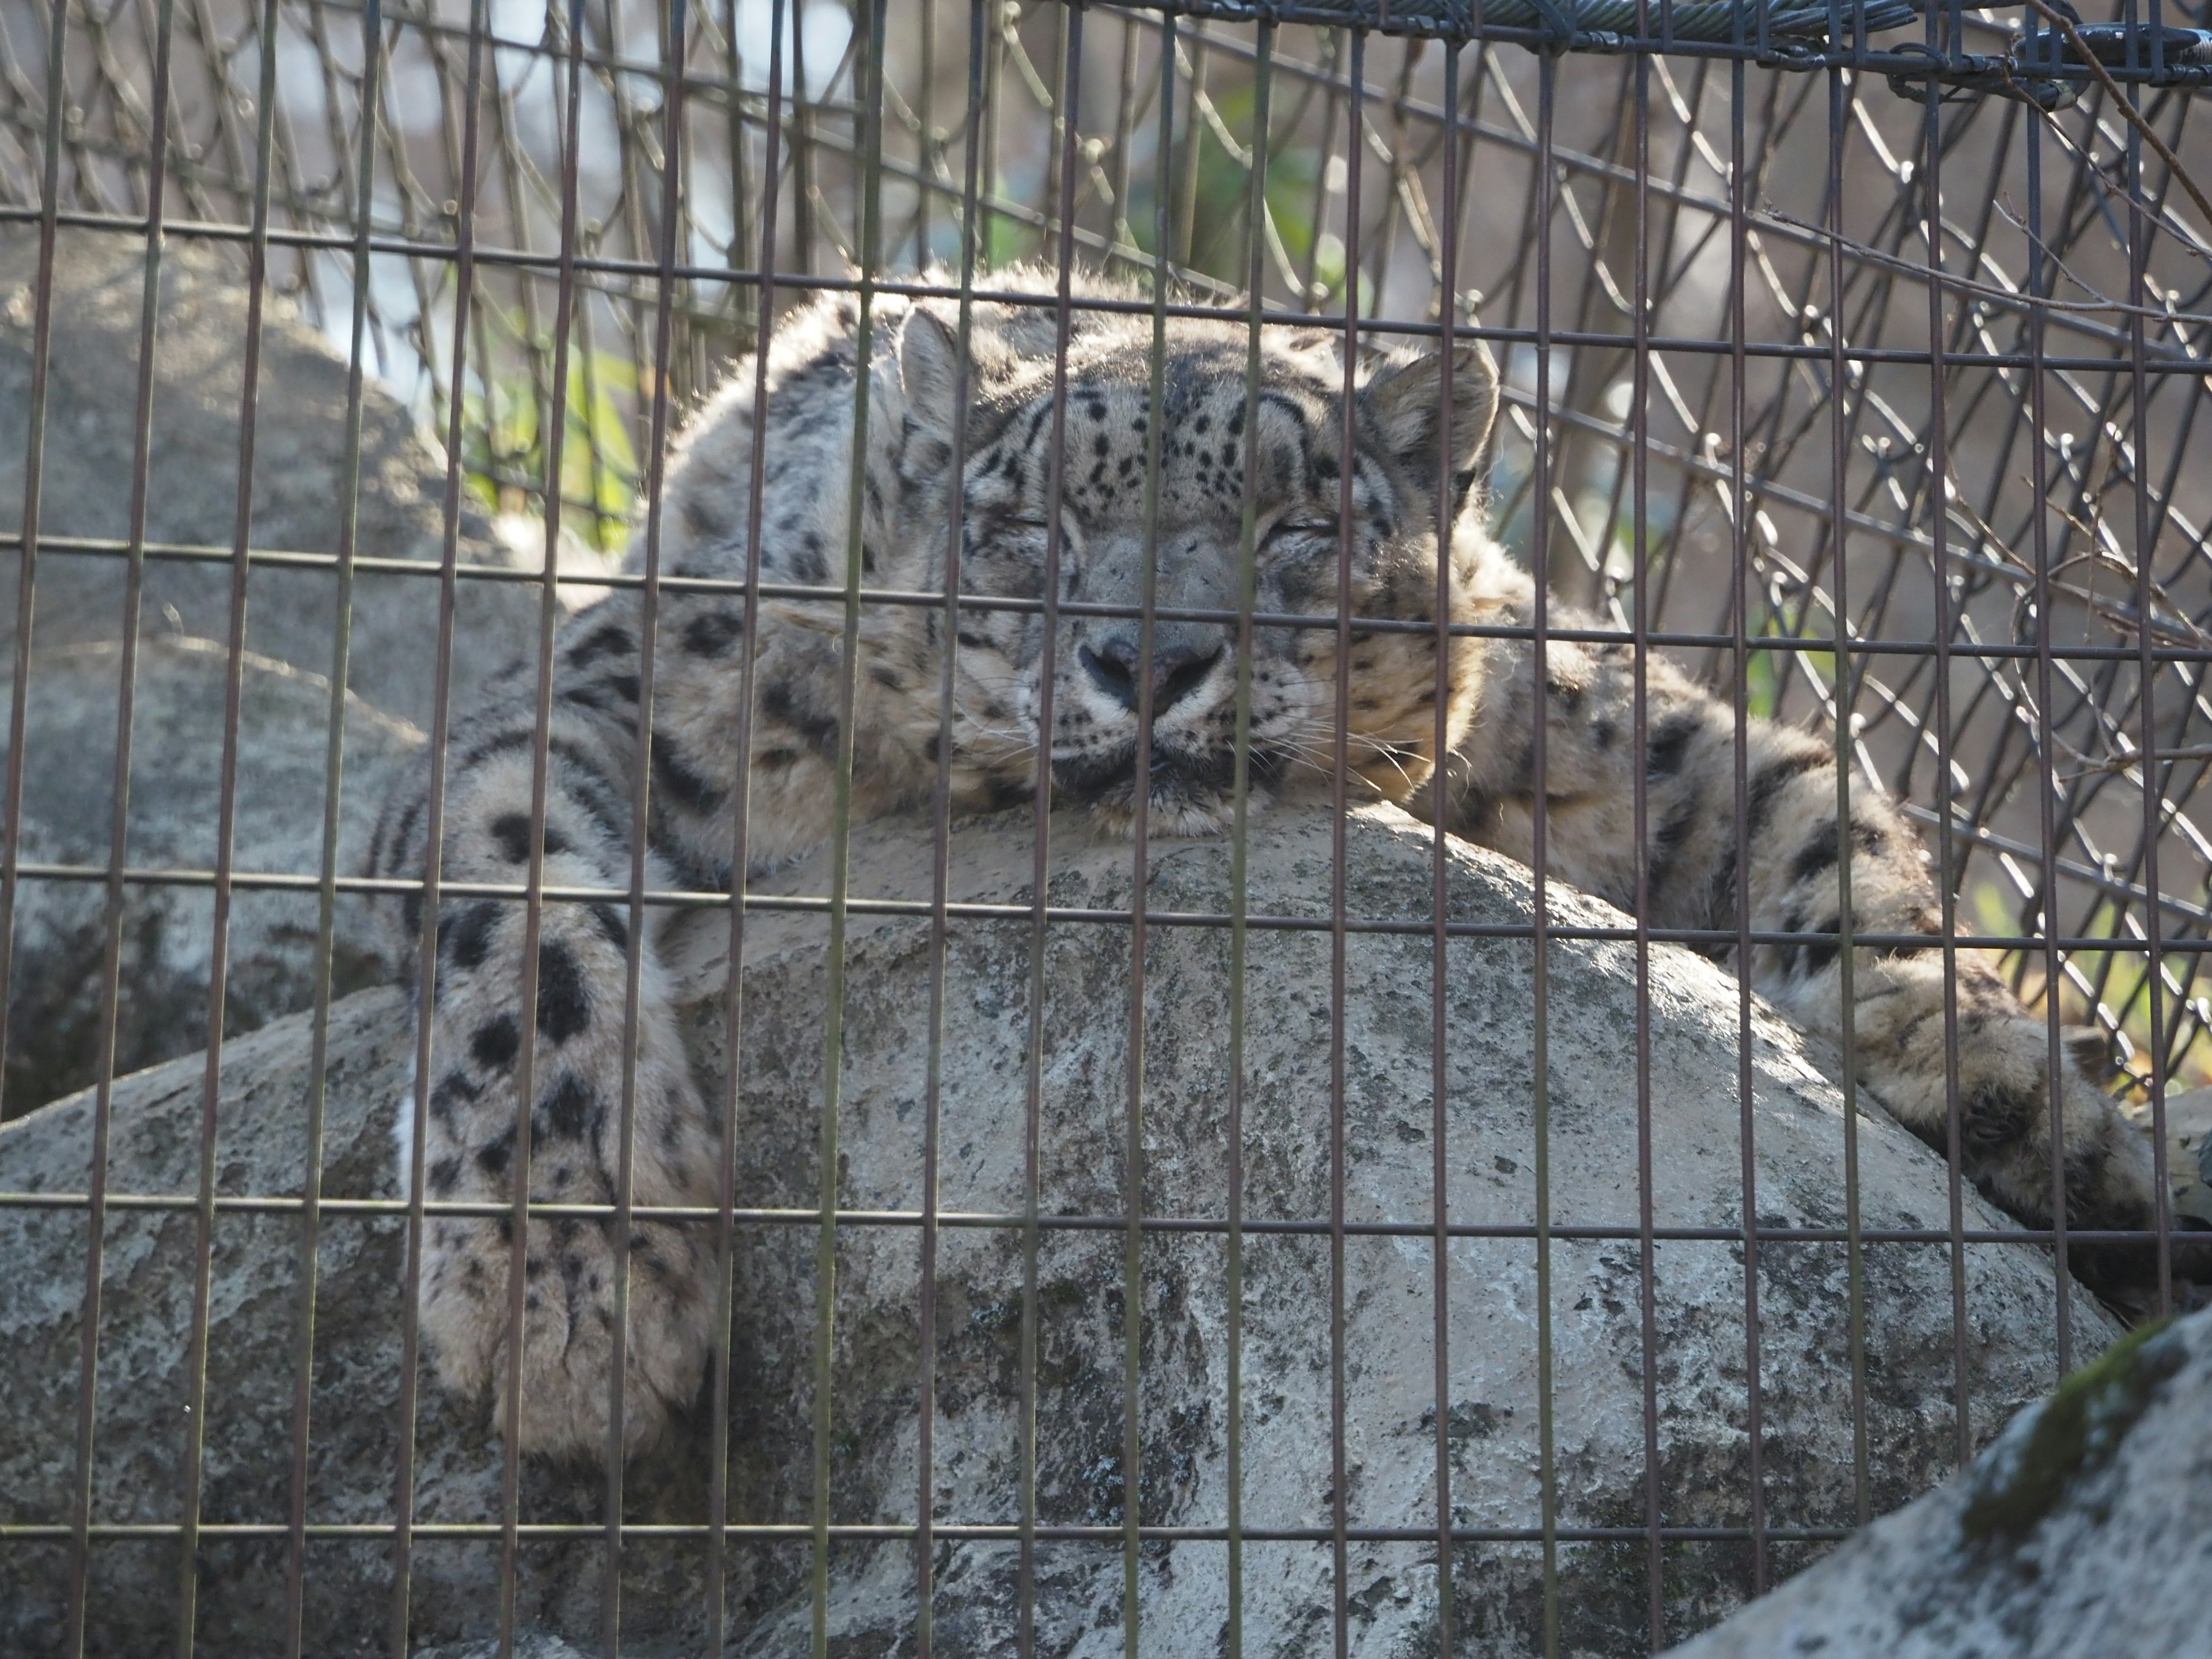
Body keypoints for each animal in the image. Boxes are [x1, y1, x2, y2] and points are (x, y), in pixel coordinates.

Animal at [372, 266, 2203, 1460]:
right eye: (1028, 525)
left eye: (1299, 524)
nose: (1152, 660)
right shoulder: (617, 701)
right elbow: (515, 900)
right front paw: (564, 1299)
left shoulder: (1612, 733)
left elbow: (1834, 834)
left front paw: (2019, 1094)